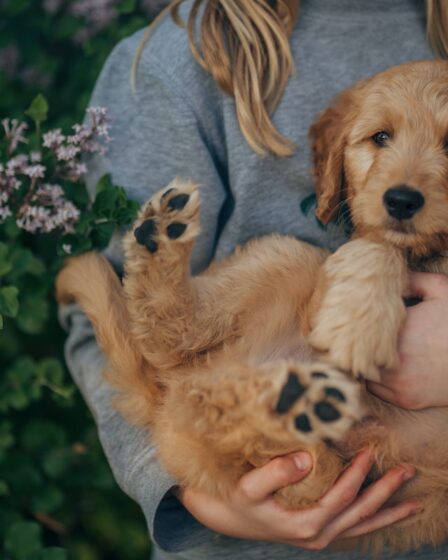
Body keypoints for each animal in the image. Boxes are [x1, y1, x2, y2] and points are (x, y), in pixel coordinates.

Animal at [57, 60, 448, 552]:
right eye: (381, 137)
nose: (400, 200)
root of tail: (174, 391)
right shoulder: (350, 259)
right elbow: (380, 245)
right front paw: (359, 326)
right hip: (288, 258)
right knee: (173, 335)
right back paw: (161, 238)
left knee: (301, 463)